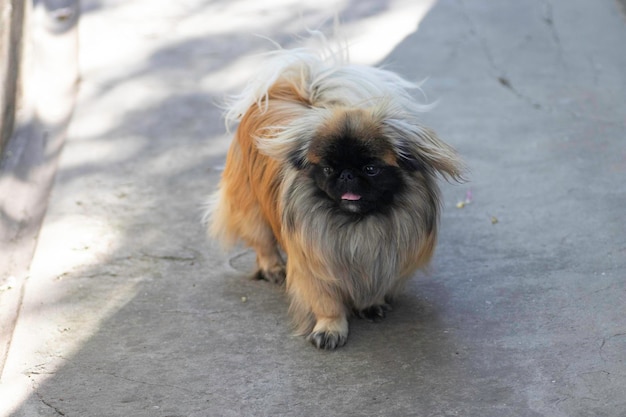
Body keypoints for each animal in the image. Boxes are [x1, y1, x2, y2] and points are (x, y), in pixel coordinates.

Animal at [207, 43, 460, 348]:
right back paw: (273, 269)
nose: (346, 174)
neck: (357, 227)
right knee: (262, 241)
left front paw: (370, 306)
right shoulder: (315, 269)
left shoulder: (382, 265)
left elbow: (372, 289)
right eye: (328, 168)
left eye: (371, 168)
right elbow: (327, 304)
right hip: (251, 208)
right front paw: (330, 330)